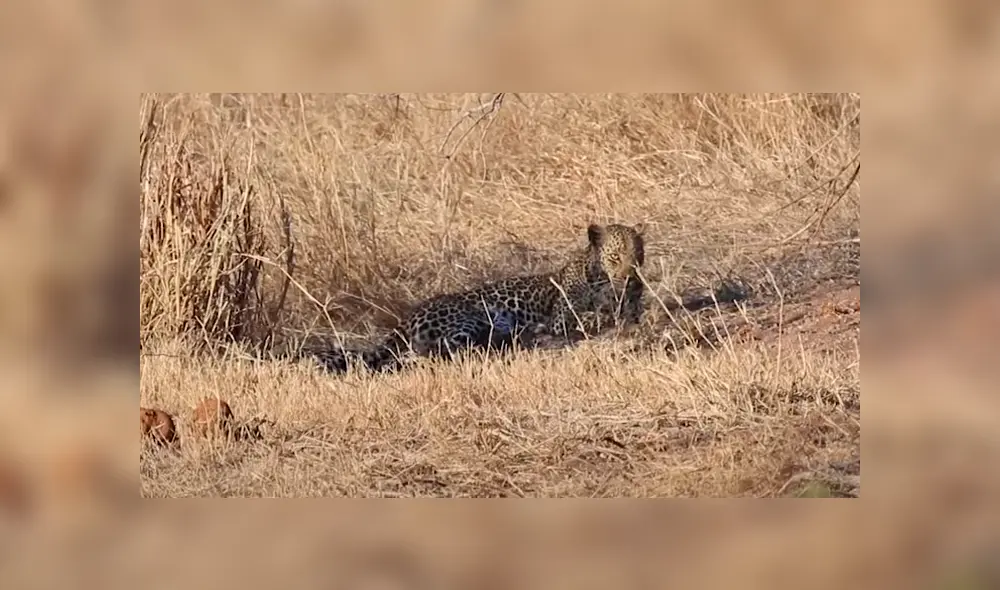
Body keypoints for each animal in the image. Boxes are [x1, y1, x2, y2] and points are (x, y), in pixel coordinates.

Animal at [303, 222, 647, 374]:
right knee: (431, 351)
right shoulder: (563, 315)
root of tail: (408, 317)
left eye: (638, 255)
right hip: (467, 317)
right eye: (615, 257)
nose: (631, 277)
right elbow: (587, 316)